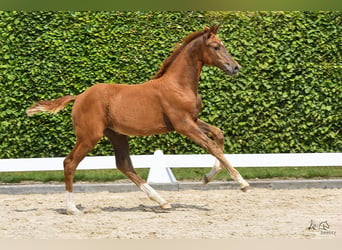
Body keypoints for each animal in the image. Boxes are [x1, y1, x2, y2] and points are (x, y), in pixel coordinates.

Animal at [26, 24, 250, 214]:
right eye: (216, 46)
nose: (235, 67)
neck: (178, 85)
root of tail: (79, 96)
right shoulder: (183, 125)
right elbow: (211, 146)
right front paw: (242, 183)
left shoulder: (193, 121)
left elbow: (218, 136)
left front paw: (206, 178)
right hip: (89, 136)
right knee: (70, 162)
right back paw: (72, 208)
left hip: (116, 135)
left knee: (124, 165)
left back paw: (162, 201)